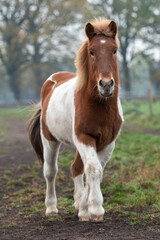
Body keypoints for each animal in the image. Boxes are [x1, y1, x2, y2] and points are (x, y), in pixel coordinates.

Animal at [27, 17, 124, 222]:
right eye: (92, 51)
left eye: (114, 50)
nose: (106, 85)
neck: (99, 105)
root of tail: (52, 81)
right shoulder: (84, 137)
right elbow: (93, 169)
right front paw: (96, 208)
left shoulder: (107, 142)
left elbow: (95, 170)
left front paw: (85, 208)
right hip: (49, 139)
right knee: (50, 172)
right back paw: (51, 208)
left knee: (76, 167)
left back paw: (80, 205)